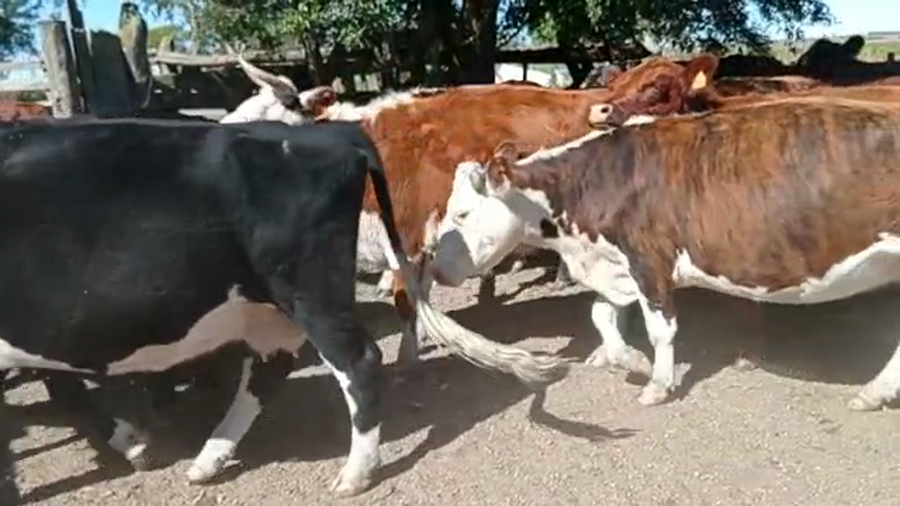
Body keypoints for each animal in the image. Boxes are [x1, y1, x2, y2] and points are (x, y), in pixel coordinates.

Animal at [0, 116, 566, 496]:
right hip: (266, 304)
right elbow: (64, 388)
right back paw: (209, 458)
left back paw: (354, 473)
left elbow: (64, 393)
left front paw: (130, 444)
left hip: (306, 290)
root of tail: (333, 134)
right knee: (271, 368)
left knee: (358, 363)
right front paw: (132, 443)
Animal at [428, 96, 900, 411]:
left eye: (462, 213)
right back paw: (875, 393)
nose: (434, 268)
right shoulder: (615, 265)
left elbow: (660, 329)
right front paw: (630, 360)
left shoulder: (648, 259)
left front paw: (657, 383)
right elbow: (601, 316)